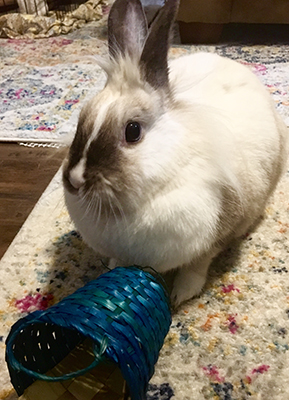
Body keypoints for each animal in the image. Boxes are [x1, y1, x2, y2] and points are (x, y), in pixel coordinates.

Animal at [62, 0, 286, 308]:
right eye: (81, 118)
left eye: (132, 131)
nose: (74, 180)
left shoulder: (213, 236)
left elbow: (197, 266)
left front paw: (181, 295)